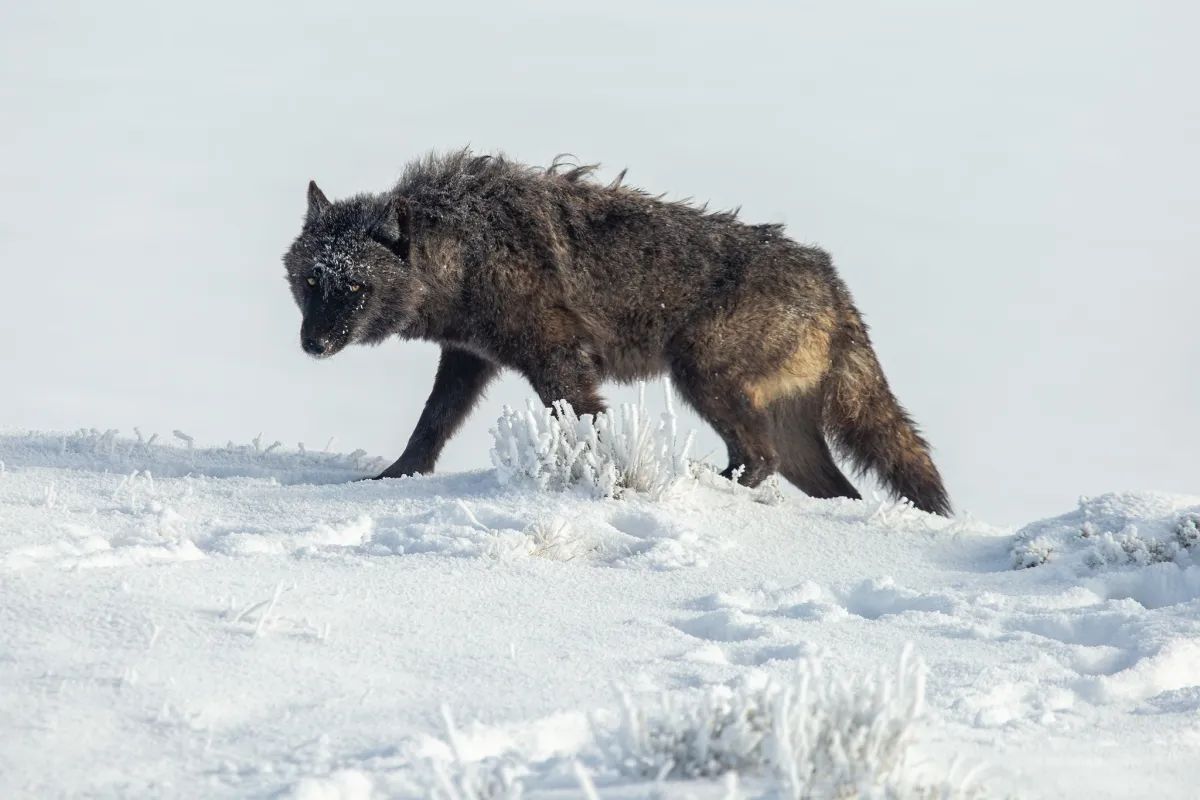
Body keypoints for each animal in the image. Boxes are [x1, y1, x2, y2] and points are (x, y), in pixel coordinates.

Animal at [283, 150, 951, 515]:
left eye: (354, 287)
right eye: (313, 280)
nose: (313, 344)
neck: (466, 252)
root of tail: (833, 283)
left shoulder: (557, 359)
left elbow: (587, 427)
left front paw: (613, 483)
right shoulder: (468, 359)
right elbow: (430, 426)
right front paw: (390, 480)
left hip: (699, 374)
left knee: (756, 458)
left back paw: (693, 482)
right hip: (791, 434)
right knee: (838, 490)